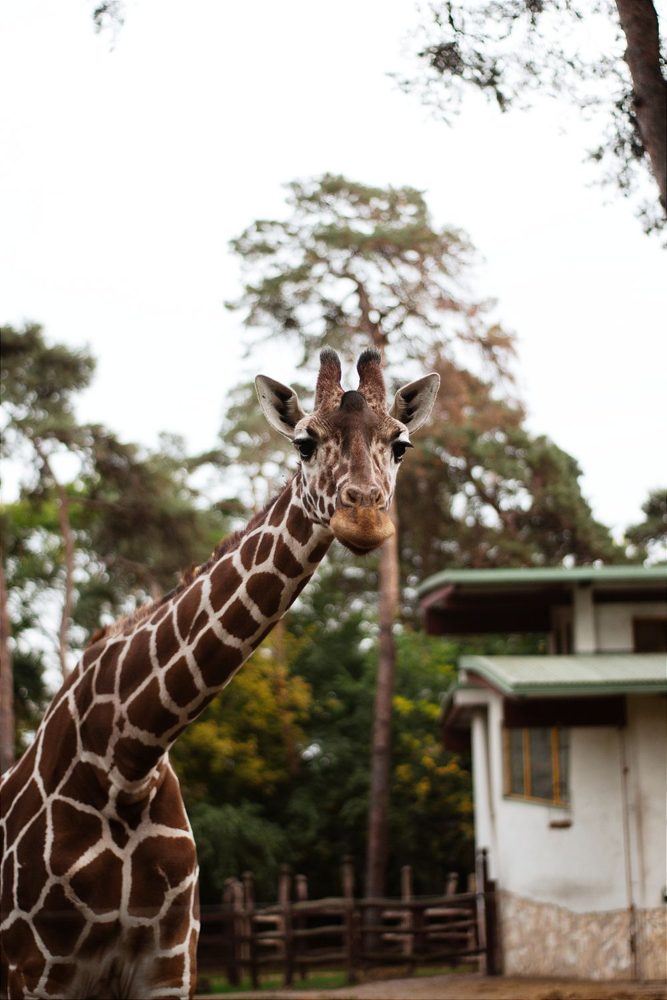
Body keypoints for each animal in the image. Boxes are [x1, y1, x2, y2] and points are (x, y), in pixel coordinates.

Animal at [0, 348, 439, 1000]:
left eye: (401, 444)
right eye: (304, 442)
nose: (364, 518)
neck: (128, 756)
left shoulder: (170, 963)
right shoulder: (36, 971)